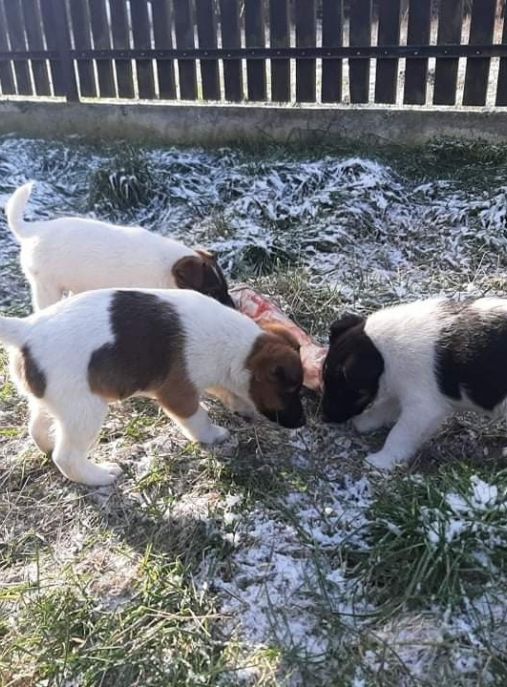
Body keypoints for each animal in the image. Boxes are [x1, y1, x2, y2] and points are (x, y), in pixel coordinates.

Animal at [0, 288, 304, 485]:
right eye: (290, 391)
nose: (302, 423)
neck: (240, 348)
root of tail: (27, 329)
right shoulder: (178, 393)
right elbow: (199, 418)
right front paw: (213, 435)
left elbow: (228, 392)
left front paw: (241, 407)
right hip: (84, 410)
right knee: (67, 457)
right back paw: (99, 477)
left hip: (52, 400)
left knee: (38, 427)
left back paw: (48, 445)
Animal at [5, 182, 234, 310]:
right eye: (212, 292)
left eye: (225, 287)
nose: (234, 309)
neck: (167, 270)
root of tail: (35, 229)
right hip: (46, 287)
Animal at [322, 297, 507, 471]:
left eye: (343, 388)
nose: (325, 418)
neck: (384, 351)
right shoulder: (403, 389)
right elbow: (385, 407)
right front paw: (365, 421)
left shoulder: (423, 408)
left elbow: (399, 434)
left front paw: (382, 461)